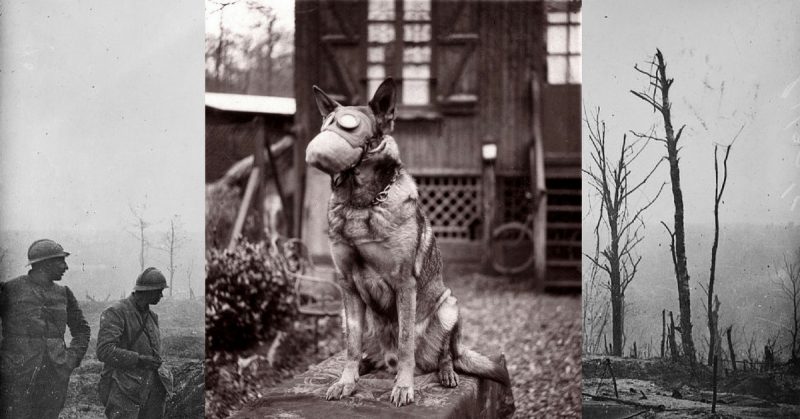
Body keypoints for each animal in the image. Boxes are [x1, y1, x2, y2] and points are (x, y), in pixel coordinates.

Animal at [304, 78, 510, 406]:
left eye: (350, 125)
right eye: (327, 122)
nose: (321, 142)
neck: (361, 203)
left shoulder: (404, 284)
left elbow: (405, 342)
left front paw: (403, 387)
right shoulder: (347, 285)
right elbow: (351, 345)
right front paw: (347, 381)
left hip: (449, 305)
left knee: (446, 354)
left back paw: (445, 373)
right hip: (348, 315)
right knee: (365, 349)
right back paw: (365, 365)